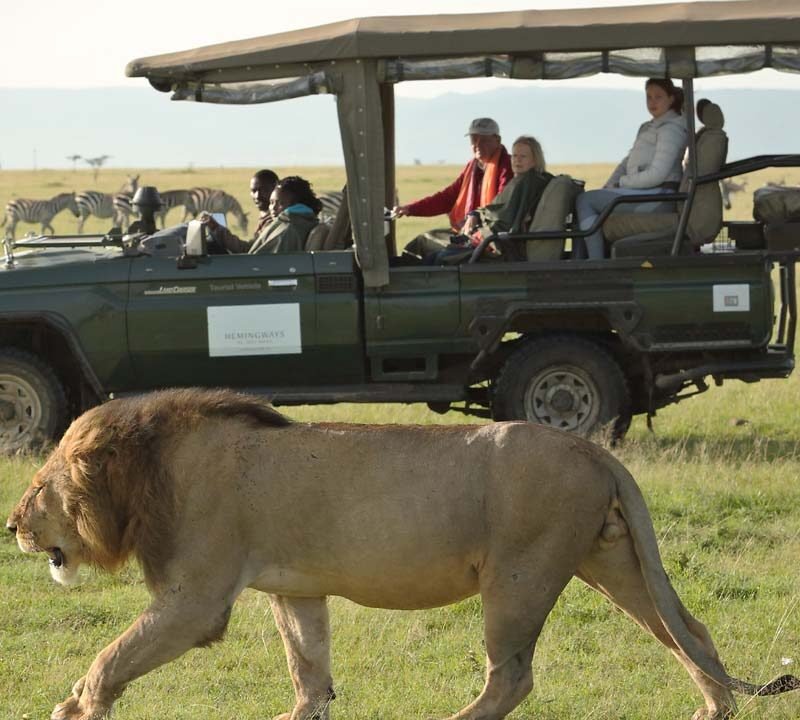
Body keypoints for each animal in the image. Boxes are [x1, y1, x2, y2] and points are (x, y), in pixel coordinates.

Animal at [6, 390, 800, 716]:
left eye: (40, 485)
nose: (11, 524)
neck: (149, 468)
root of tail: (594, 451)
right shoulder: (295, 588)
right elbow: (310, 676)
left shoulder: (196, 598)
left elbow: (108, 658)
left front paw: (77, 709)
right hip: (610, 561)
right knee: (688, 633)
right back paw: (712, 710)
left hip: (519, 575)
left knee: (512, 678)